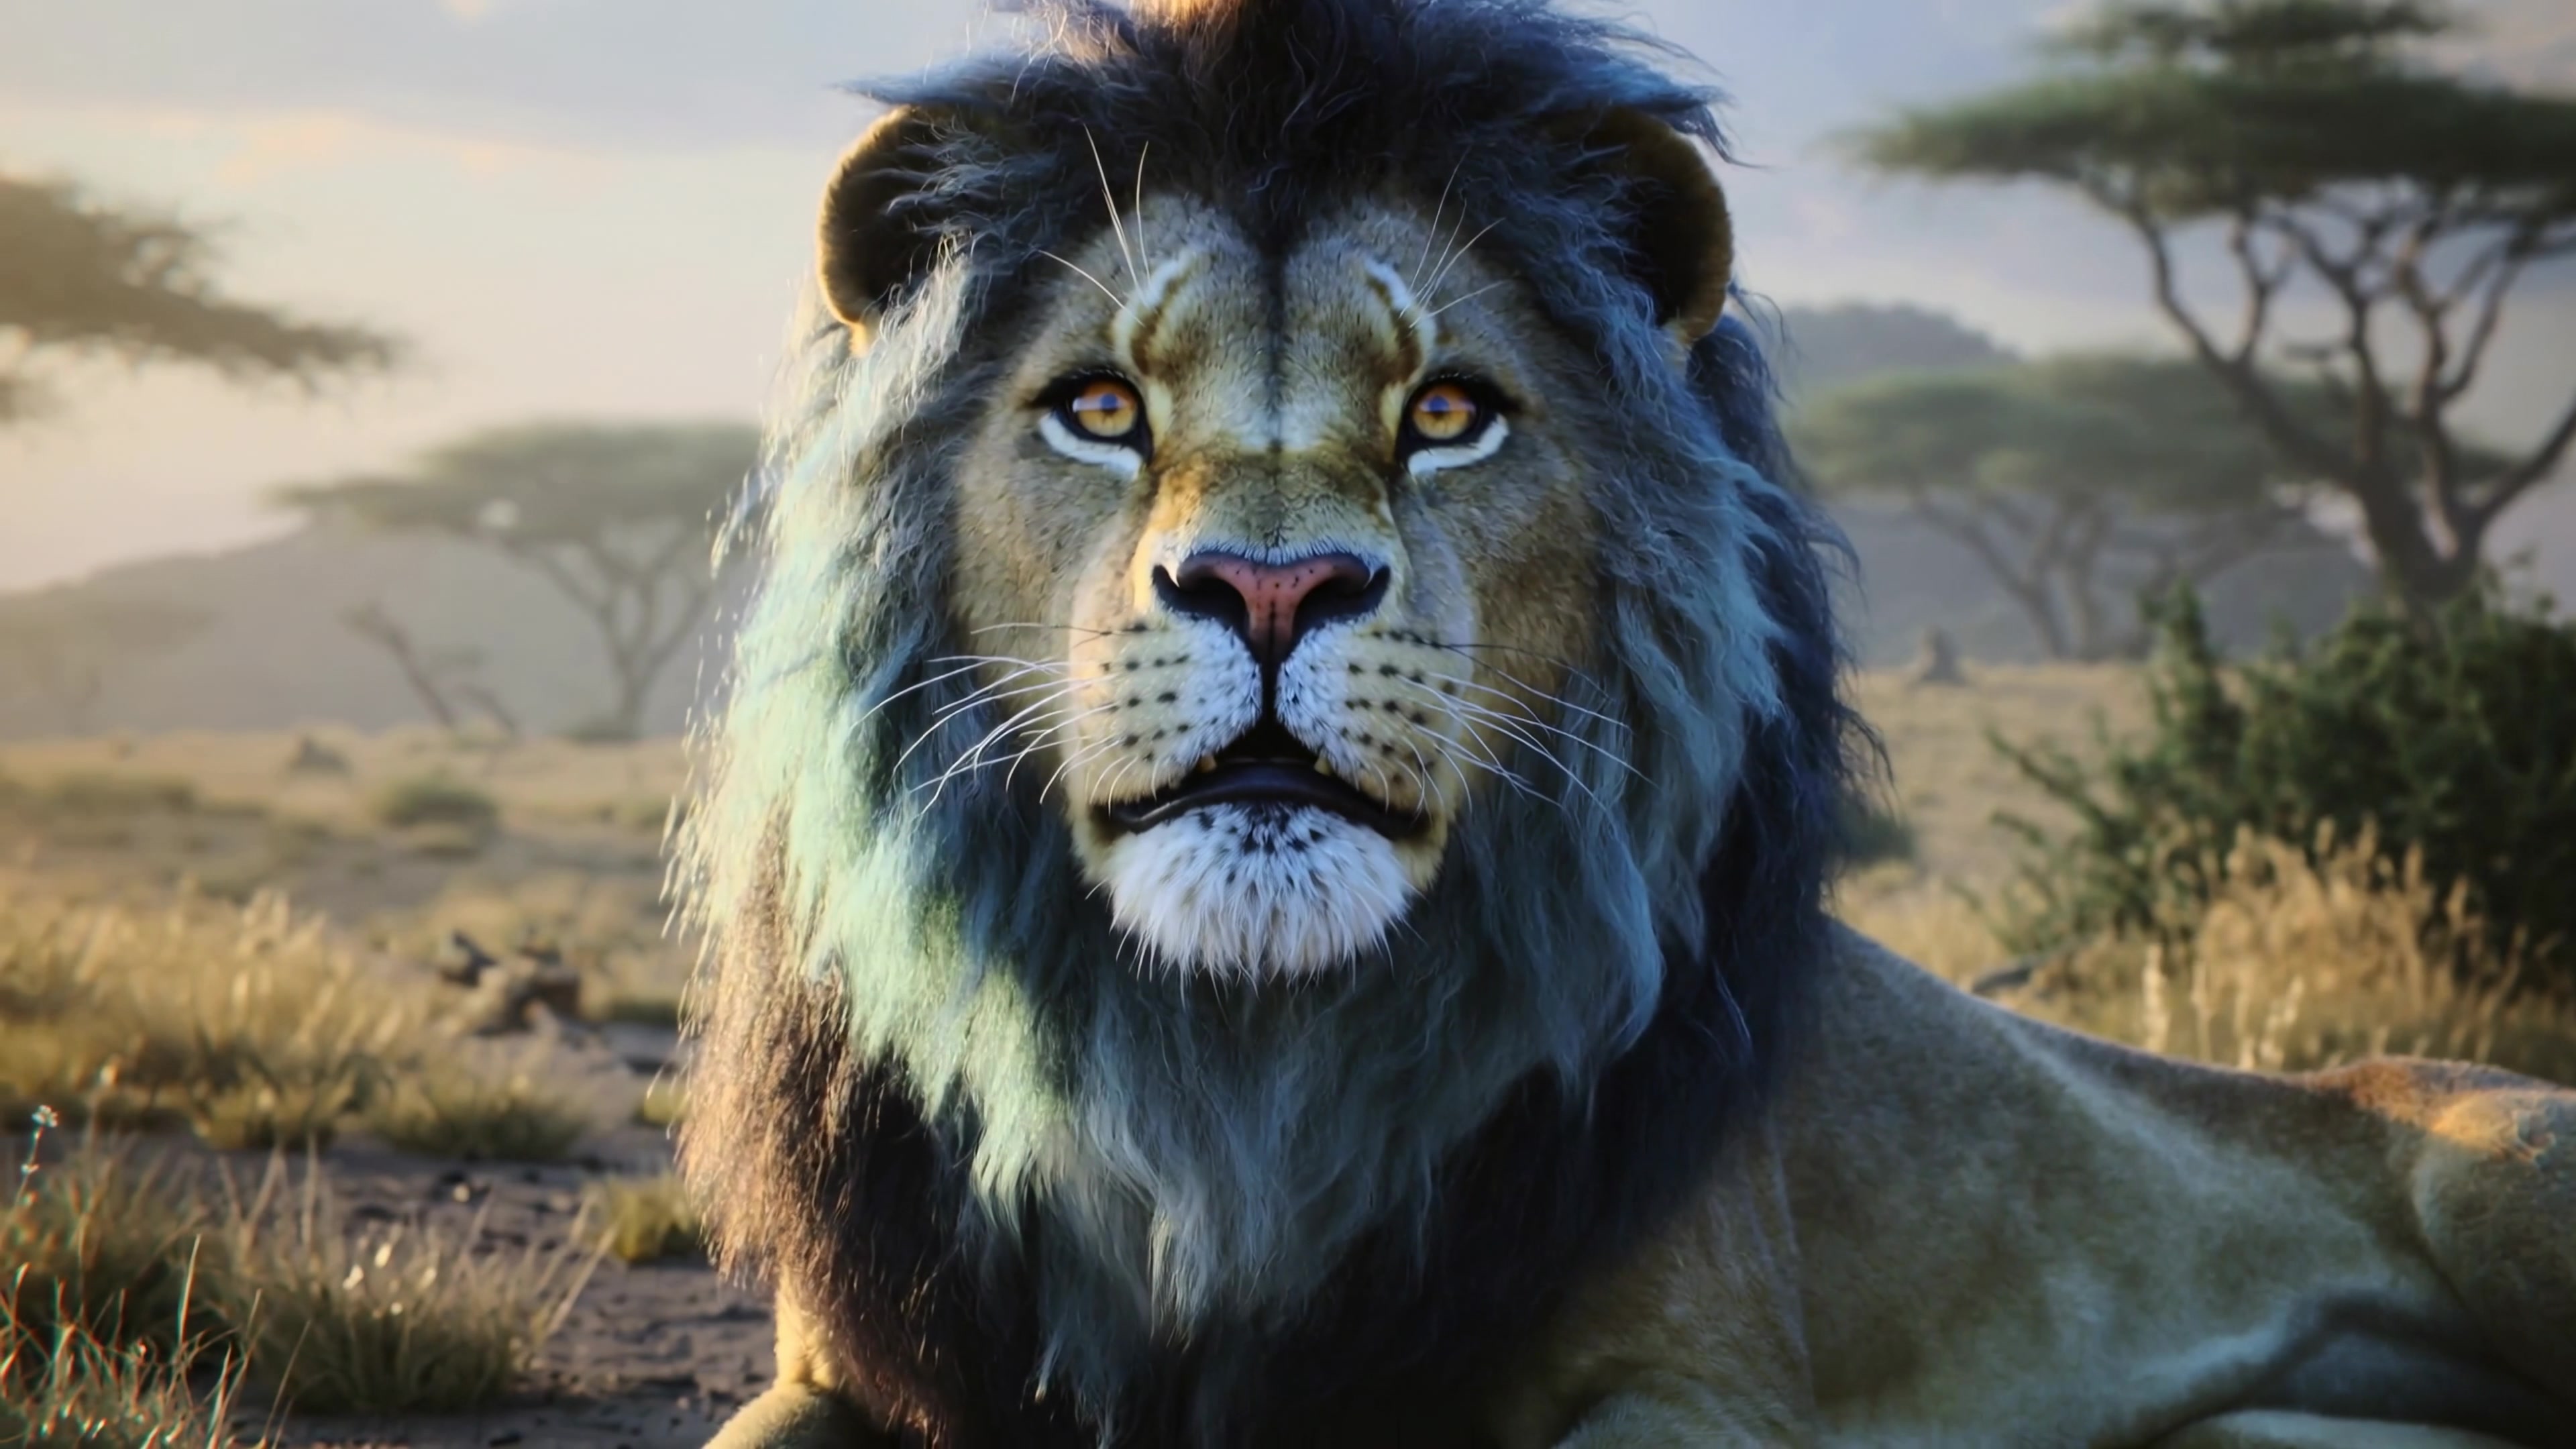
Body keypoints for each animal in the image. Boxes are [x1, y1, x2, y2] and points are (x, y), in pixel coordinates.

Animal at [675, 0, 2576, 1444]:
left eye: (1447, 414)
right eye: (1099, 408)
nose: (1274, 589)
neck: (1240, 1053)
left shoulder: (1702, 1381)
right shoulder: (852, 1365)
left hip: (2505, 1173)